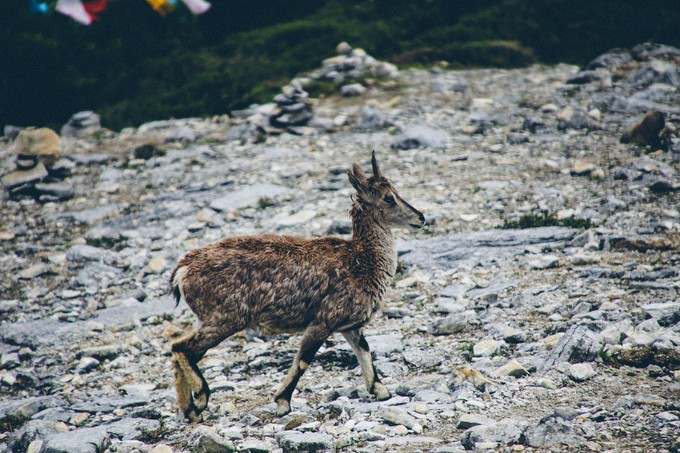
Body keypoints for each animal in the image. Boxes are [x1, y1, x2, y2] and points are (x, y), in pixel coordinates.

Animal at [169, 152, 424, 420]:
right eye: (389, 198)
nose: (421, 218)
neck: (362, 262)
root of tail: (183, 270)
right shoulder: (323, 321)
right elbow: (303, 360)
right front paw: (283, 402)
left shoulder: (349, 325)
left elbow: (364, 349)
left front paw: (380, 390)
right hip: (225, 318)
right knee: (182, 348)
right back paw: (201, 397)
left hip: (210, 319)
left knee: (180, 351)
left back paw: (189, 409)